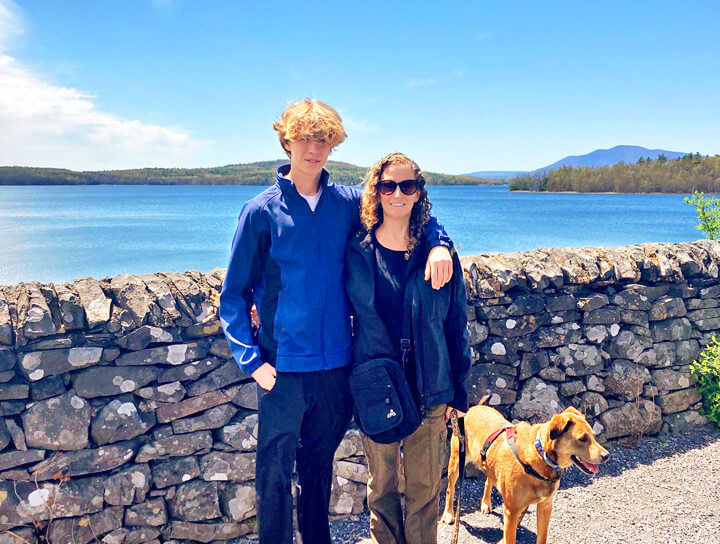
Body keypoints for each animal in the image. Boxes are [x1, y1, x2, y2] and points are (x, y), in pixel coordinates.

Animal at [438, 396, 608, 544]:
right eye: (582, 439)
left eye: (594, 436)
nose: (606, 456)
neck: (540, 455)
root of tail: (475, 408)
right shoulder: (512, 512)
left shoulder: (545, 506)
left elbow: (542, 538)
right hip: (456, 462)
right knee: (450, 489)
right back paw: (448, 514)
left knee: (488, 481)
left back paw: (486, 503)